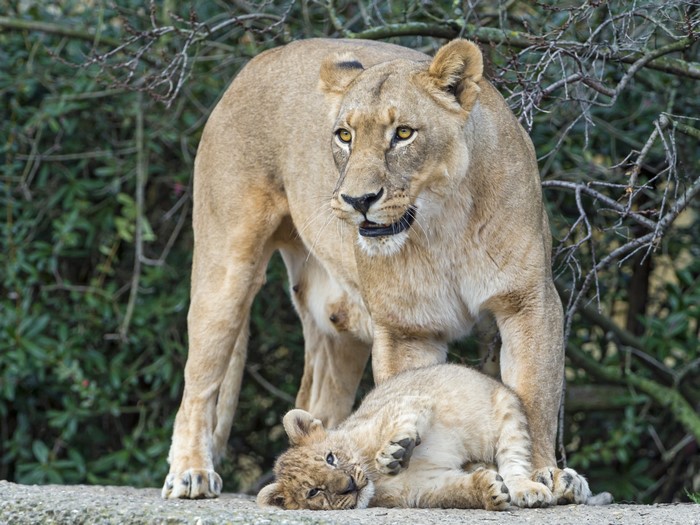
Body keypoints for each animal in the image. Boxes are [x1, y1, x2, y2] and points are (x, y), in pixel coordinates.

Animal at [162, 38, 583, 501]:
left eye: (403, 134)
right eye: (345, 135)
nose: (357, 200)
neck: (444, 226)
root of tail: (259, 60)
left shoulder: (527, 302)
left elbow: (534, 395)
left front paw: (546, 473)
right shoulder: (406, 329)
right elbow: (409, 394)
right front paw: (404, 464)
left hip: (338, 330)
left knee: (317, 405)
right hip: (226, 270)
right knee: (198, 386)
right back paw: (191, 472)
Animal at [257, 364, 599, 510]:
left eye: (330, 457)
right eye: (314, 492)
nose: (350, 485)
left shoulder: (410, 399)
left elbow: (402, 416)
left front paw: (392, 452)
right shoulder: (425, 488)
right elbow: (457, 491)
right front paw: (488, 490)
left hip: (508, 410)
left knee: (515, 463)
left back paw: (532, 488)